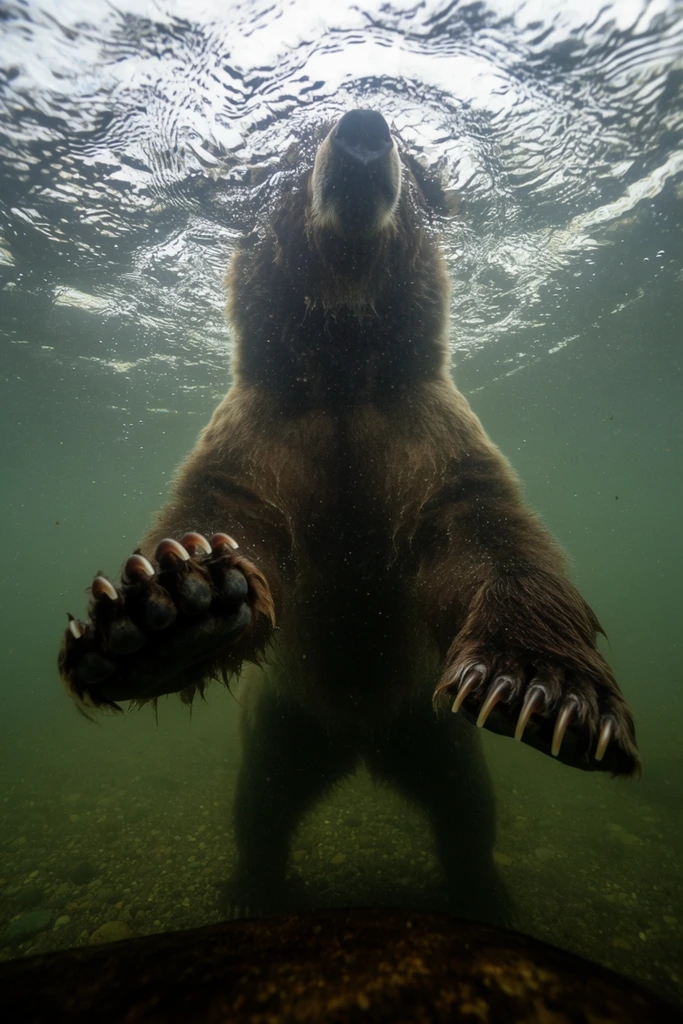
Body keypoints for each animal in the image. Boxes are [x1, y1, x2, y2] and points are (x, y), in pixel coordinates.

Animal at [59, 109, 639, 925]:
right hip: (282, 722)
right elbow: (224, 517)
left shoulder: (421, 432)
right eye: (292, 152)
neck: (341, 359)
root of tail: (362, 745)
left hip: (429, 726)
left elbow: (484, 535)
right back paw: (253, 884)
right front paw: (162, 613)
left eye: (417, 168)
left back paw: (481, 888)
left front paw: (546, 692)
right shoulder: (268, 436)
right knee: (261, 808)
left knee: (464, 807)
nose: (364, 129)